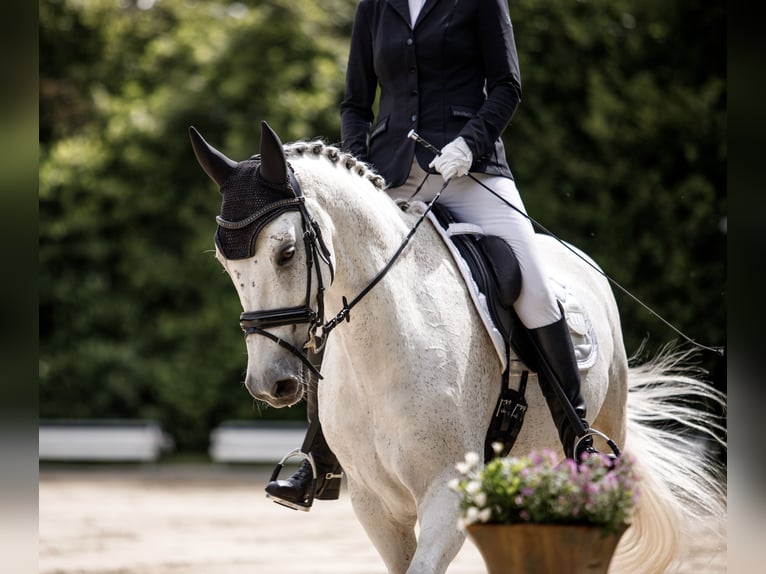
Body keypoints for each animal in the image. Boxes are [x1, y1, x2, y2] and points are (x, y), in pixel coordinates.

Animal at [190, 121, 726, 574]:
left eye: (286, 253)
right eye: (223, 262)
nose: (268, 384)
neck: (381, 352)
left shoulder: (448, 493)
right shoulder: (375, 504)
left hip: (599, 434)